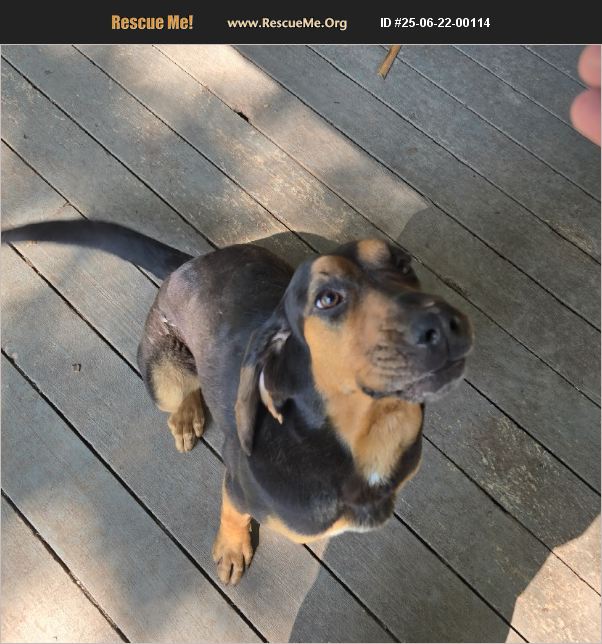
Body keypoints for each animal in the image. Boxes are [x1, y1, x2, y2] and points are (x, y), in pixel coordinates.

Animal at [2, 221, 473, 585]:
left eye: (404, 264)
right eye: (327, 299)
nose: (447, 323)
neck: (358, 438)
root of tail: (186, 265)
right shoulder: (237, 485)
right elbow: (233, 513)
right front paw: (232, 551)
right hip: (164, 372)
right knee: (180, 392)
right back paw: (186, 417)